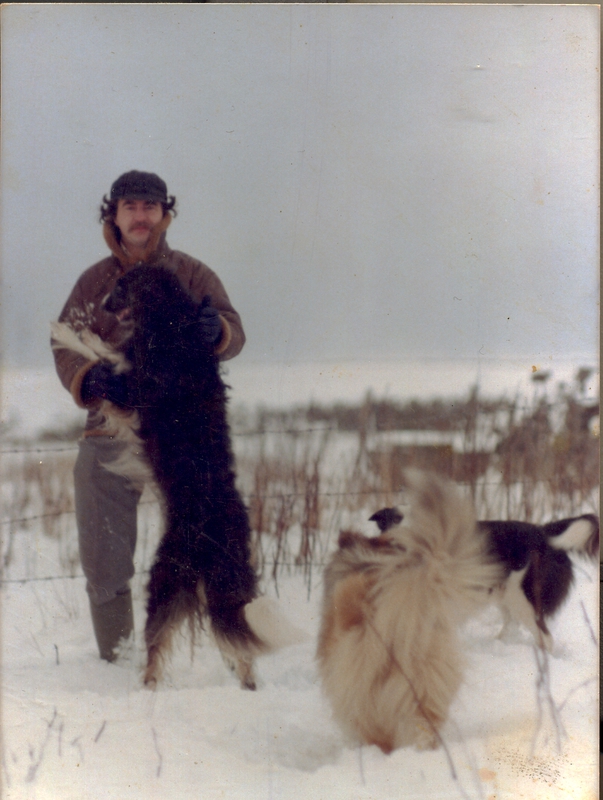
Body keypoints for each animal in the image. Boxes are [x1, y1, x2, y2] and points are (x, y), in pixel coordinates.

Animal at [368, 504, 600, 652]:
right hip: (506, 595)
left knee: (545, 637)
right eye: (395, 519)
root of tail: (543, 532)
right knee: (512, 623)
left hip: (522, 598)